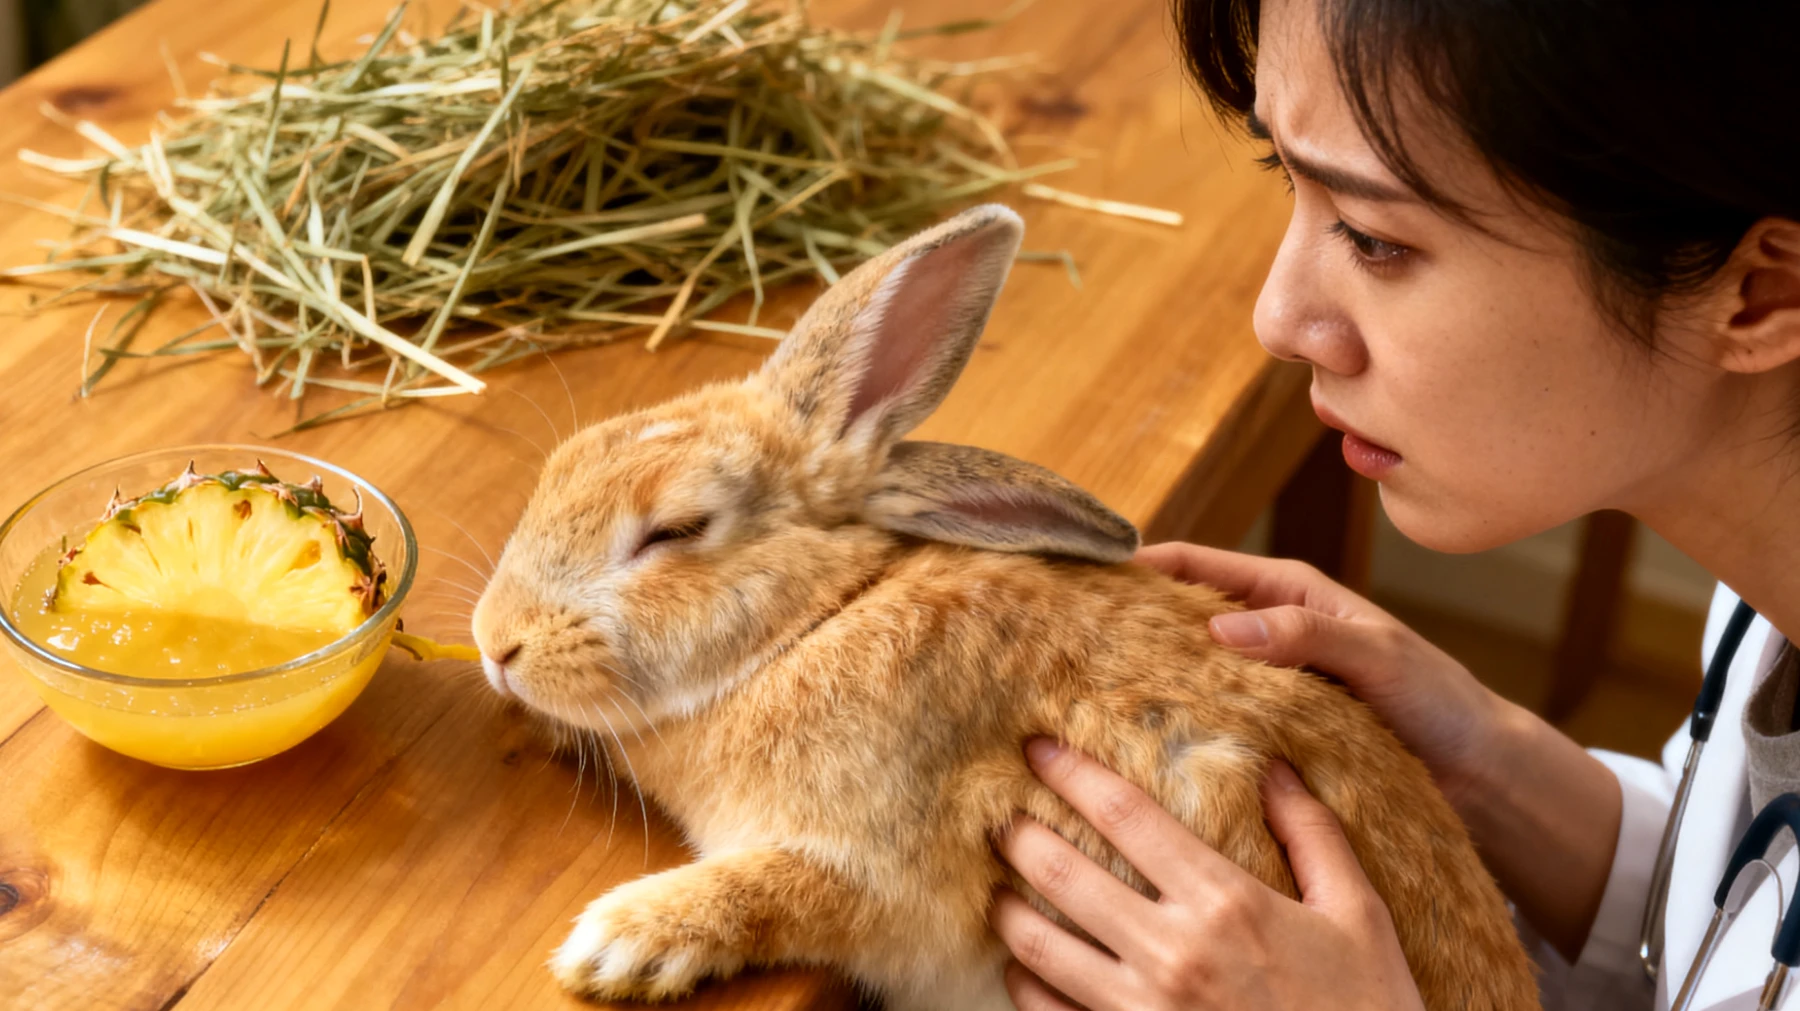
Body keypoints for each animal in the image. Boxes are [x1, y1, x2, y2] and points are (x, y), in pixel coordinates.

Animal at [470, 203, 1541, 1011]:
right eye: (567, 461)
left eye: (675, 529)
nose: (495, 644)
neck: (820, 618)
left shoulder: (886, 875)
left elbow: (780, 890)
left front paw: (615, 945)